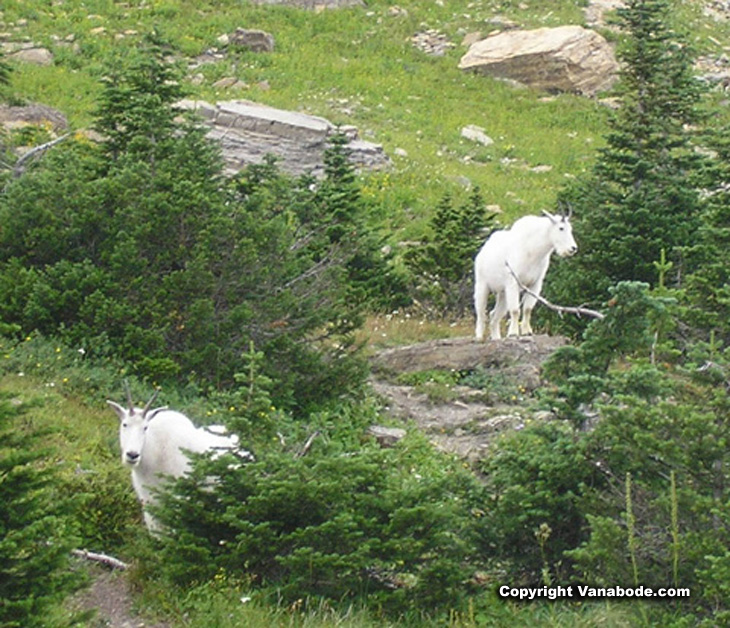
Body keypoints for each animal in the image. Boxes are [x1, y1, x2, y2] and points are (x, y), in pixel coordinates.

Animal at [474, 209, 577, 341]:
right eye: (561, 228)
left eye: (571, 228)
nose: (573, 248)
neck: (533, 251)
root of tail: (483, 250)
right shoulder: (513, 283)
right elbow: (515, 310)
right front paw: (513, 333)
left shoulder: (535, 284)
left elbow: (528, 308)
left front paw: (527, 332)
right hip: (482, 285)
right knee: (481, 313)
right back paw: (479, 337)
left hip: (502, 293)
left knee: (494, 315)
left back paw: (496, 338)